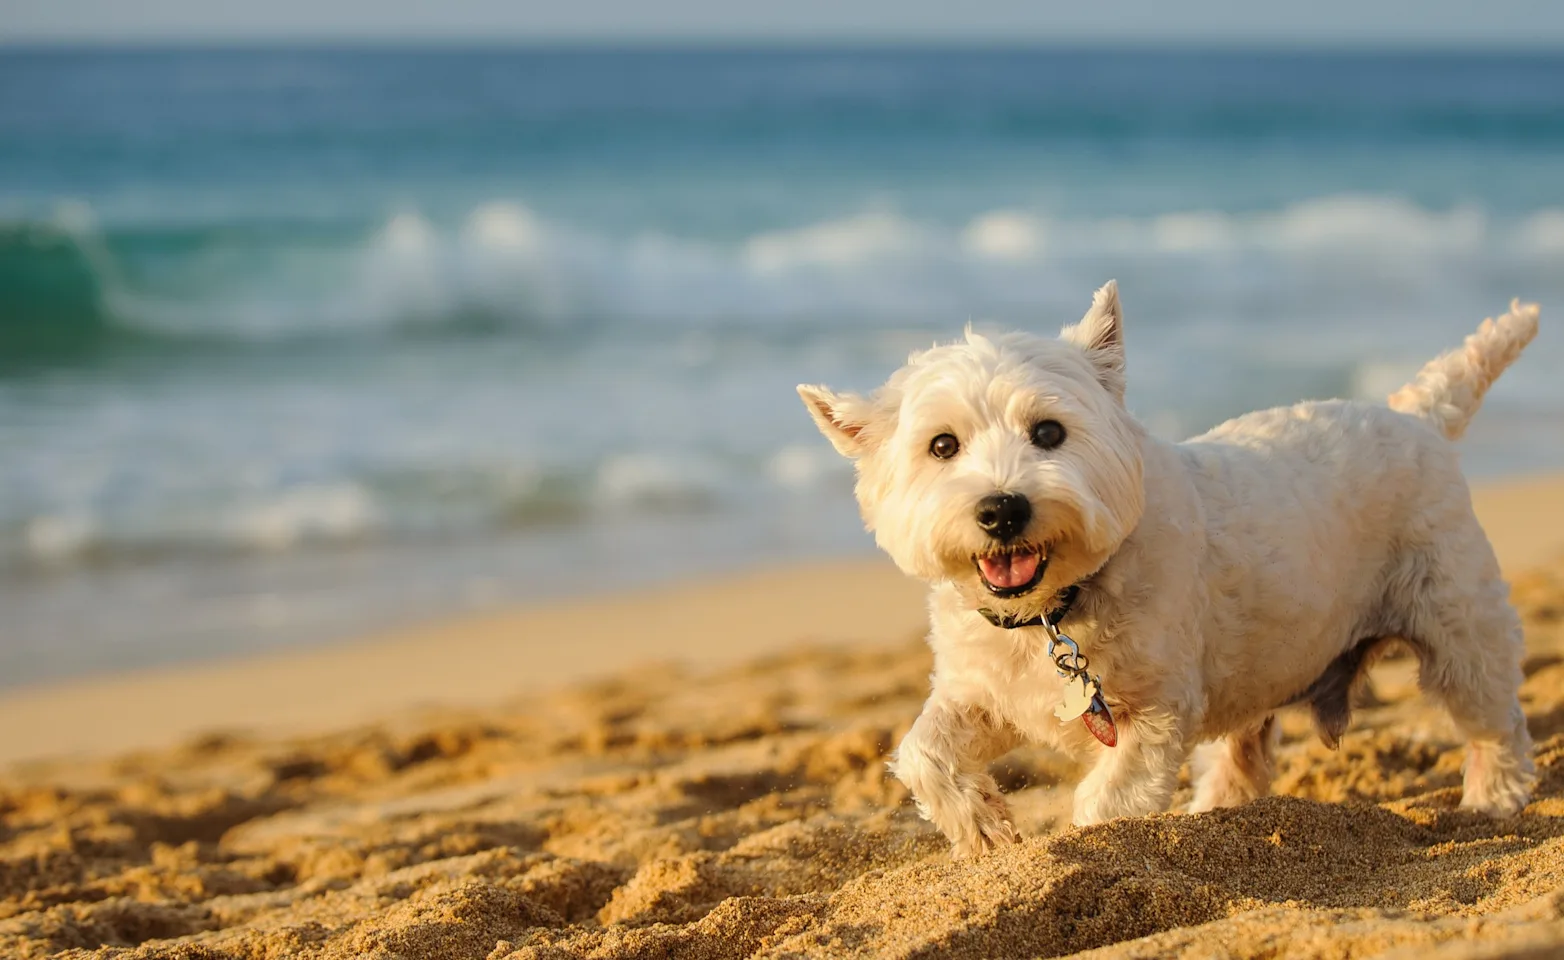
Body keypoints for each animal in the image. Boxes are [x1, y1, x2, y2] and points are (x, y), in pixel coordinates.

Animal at [800, 284, 1532, 856]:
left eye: (1048, 433)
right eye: (942, 446)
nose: (1002, 509)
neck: (1053, 610)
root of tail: (1417, 416)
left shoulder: (1154, 712)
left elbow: (1107, 801)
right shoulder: (983, 690)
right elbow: (923, 752)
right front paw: (984, 830)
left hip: (1457, 621)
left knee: (1491, 717)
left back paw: (1491, 799)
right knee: (1242, 753)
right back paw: (1216, 811)